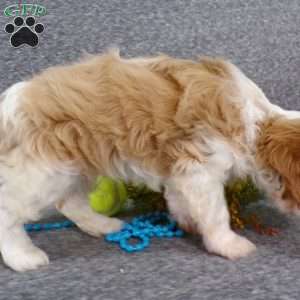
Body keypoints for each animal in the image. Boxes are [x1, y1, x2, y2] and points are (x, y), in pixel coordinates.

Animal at [0, 51, 298, 272]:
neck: (256, 122)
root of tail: (11, 106)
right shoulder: (200, 166)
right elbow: (216, 212)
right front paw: (228, 243)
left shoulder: (182, 171)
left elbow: (178, 198)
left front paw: (186, 221)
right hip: (45, 170)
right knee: (9, 210)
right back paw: (22, 257)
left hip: (78, 165)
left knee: (69, 202)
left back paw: (102, 225)